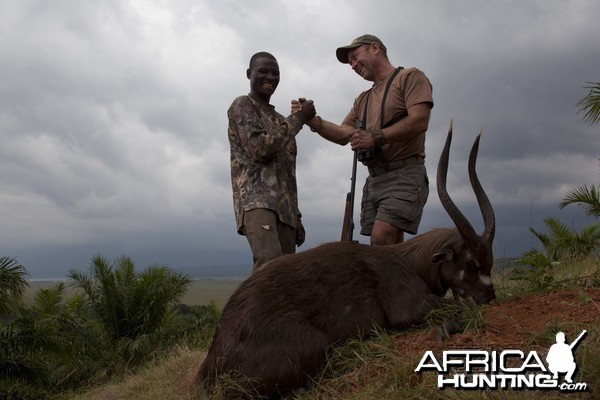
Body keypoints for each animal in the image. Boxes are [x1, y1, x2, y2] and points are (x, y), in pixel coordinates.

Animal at [197, 123, 496, 398]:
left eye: (489, 262)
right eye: (471, 263)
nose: (490, 296)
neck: (410, 262)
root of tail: (212, 363)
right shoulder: (411, 307)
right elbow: (461, 308)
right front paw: (447, 327)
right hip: (313, 342)